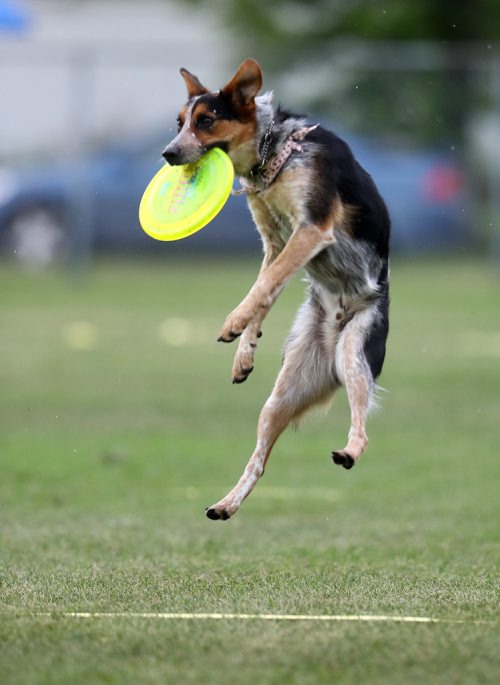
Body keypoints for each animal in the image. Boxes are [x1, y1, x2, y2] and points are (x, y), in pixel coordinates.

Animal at [164, 60, 390, 520]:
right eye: (179, 123)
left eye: (206, 121)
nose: (168, 153)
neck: (275, 155)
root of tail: (331, 340)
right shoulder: (275, 241)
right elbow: (265, 290)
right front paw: (244, 350)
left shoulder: (311, 231)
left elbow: (266, 285)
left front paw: (234, 322)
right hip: (281, 397)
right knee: (259, 461)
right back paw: (225, 505)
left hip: (356, 352)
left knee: (361, 422)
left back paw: (349, 451)